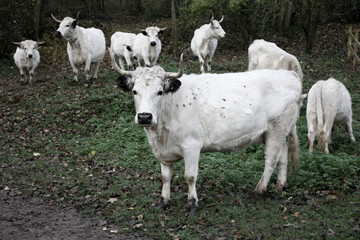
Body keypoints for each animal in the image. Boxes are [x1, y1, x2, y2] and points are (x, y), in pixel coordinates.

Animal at [111, 54, 302, 214]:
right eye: (134, 91)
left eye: (159, 92)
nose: (144, 116)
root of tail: (290, 74)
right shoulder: (163, 150)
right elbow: (165, 177)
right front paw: (163, 200)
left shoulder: (192, 146)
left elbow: (190, 176)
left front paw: (192, 203)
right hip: (279, 130)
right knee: (283, 155)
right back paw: (280, 185)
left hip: (277, 128)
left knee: (271, 159)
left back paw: (259, 190)